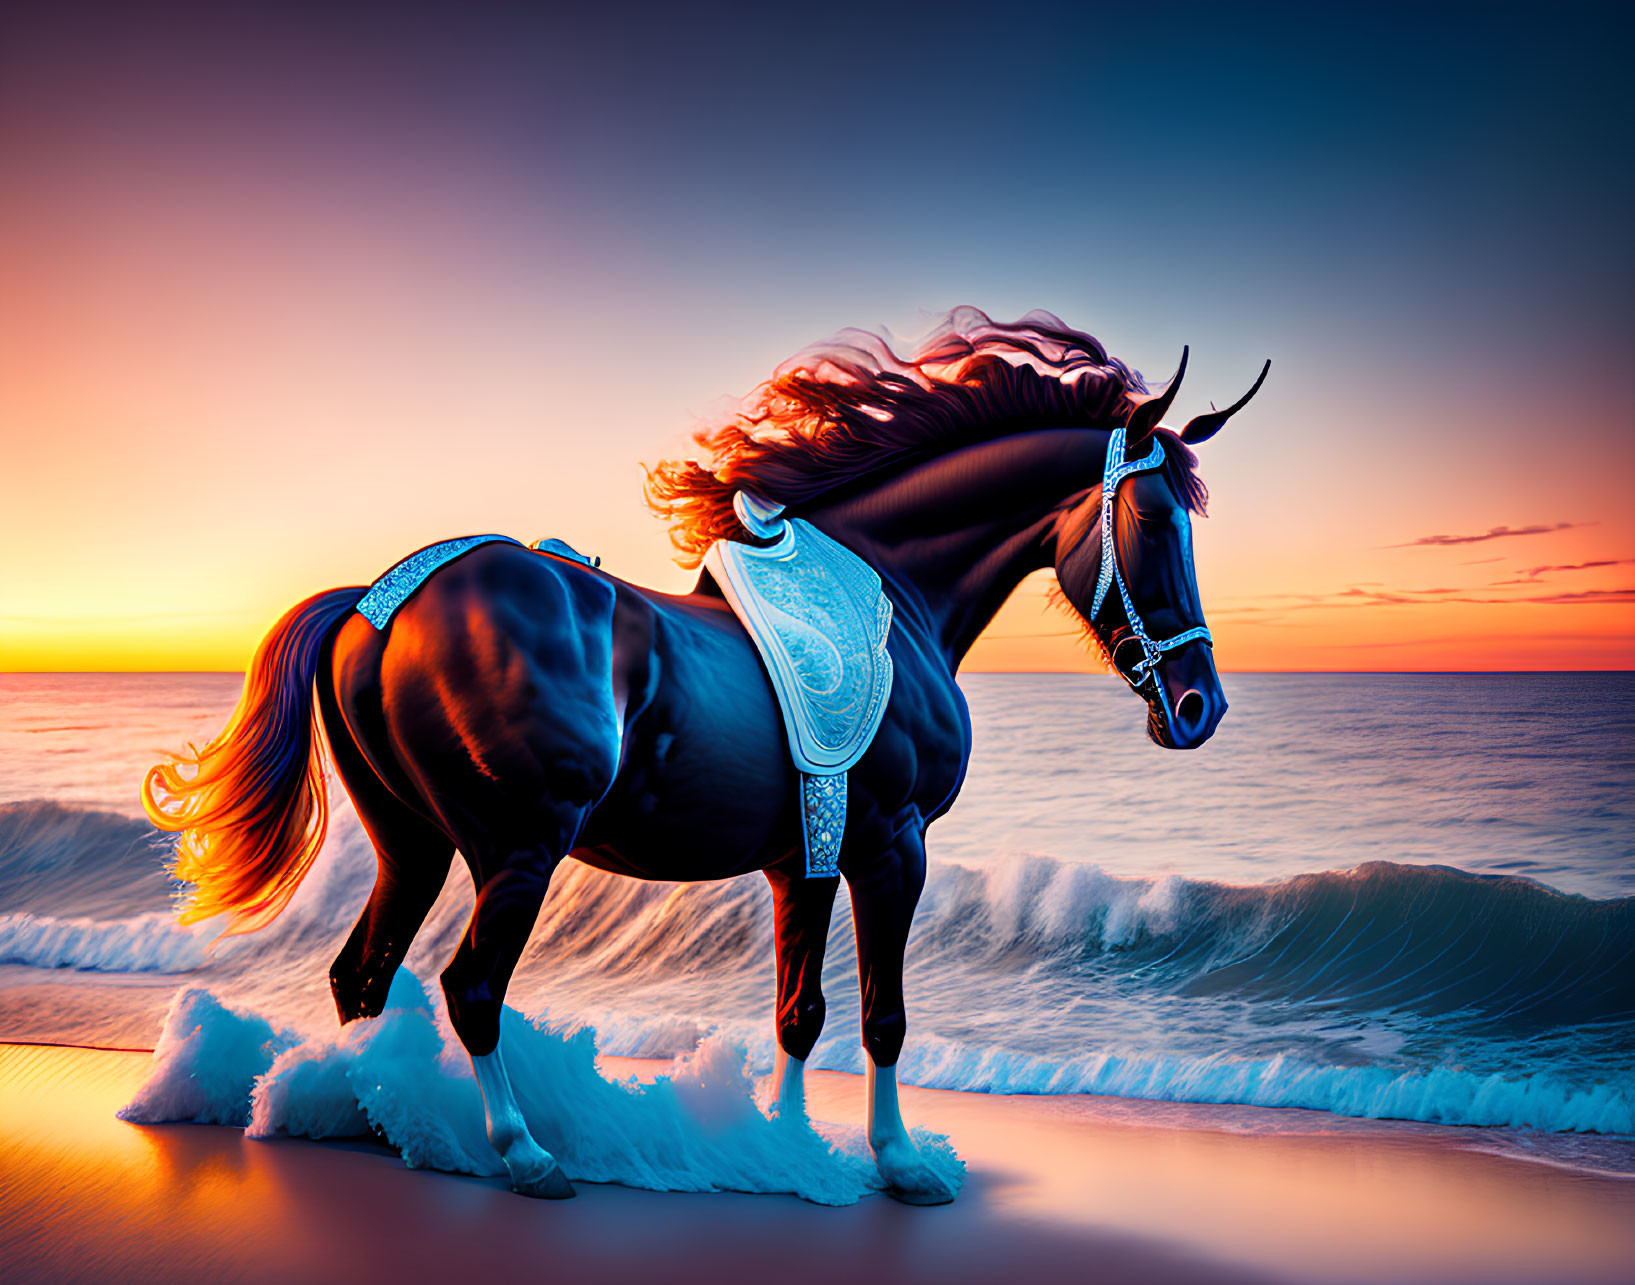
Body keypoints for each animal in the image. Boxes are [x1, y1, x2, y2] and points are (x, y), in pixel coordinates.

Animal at [143, 307, 1262, 1203]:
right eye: (1153, 518)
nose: (1198, 705)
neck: (894, 596)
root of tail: (377, 602)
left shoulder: (801, 859)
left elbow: (800, 1013)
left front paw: (788, 1150)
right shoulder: (891, 847)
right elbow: (883, 1017)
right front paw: (899, 1165)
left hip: (411, 844)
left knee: (362, 975)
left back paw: (362, 1110)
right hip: (517, 848)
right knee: (470, 987)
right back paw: (523, 1153)